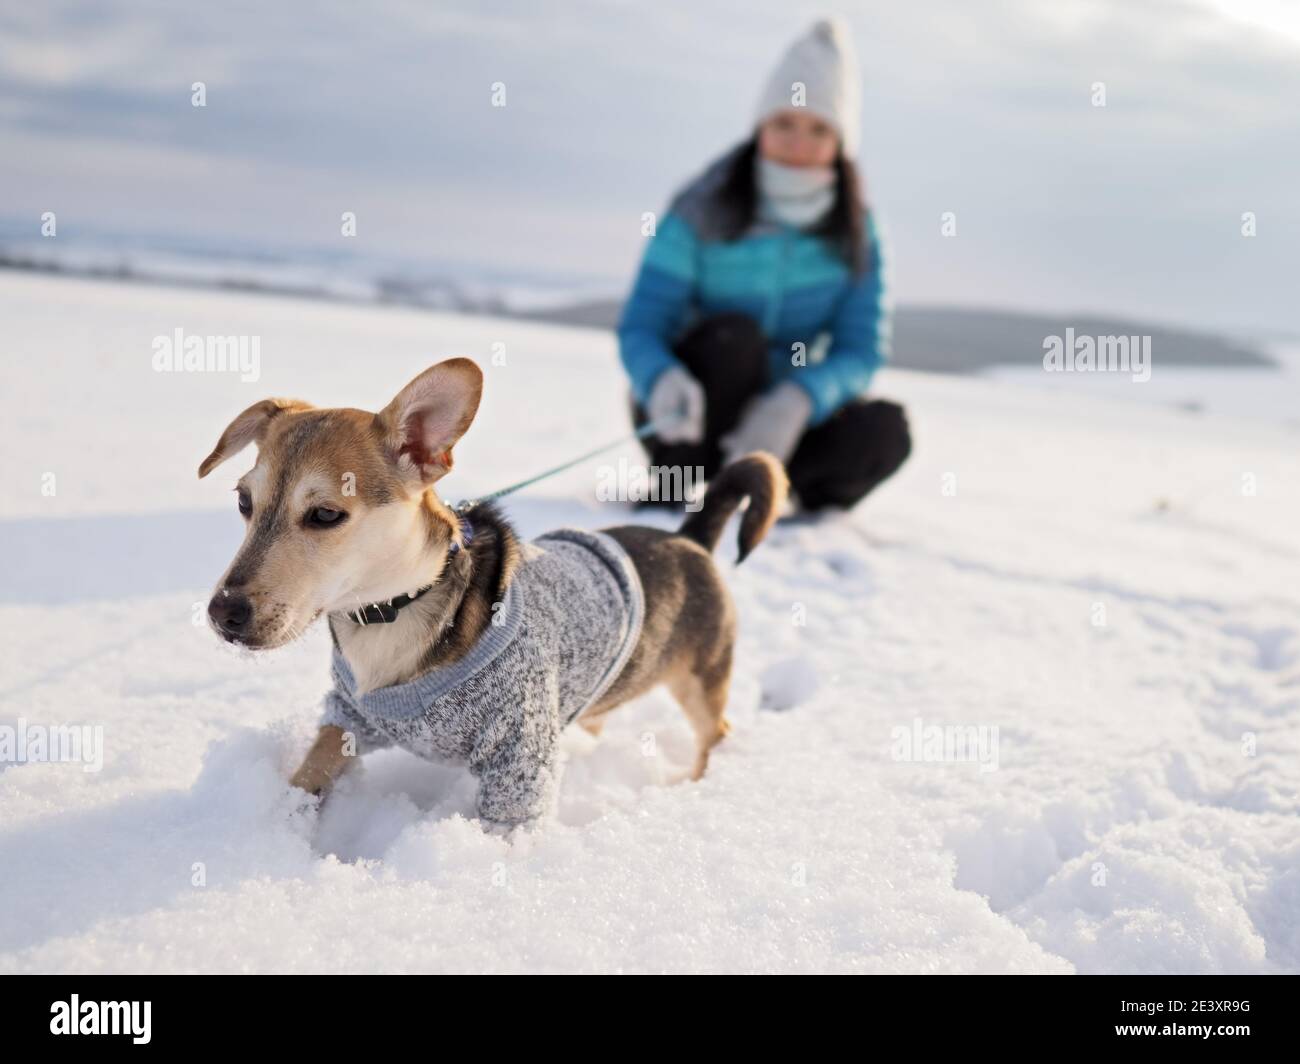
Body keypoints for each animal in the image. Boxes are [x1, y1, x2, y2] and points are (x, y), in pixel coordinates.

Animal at [195, 356, 780, 827]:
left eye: (324, 515)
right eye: (244, 502)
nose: (223, 613)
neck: (393, 612)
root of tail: (690, 538)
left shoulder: (521, 755)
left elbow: (506, 826)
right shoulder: (347, 715)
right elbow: (312, 771)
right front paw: (279, 826)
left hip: (703, 677)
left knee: (716, 730)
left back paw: (700, 786)